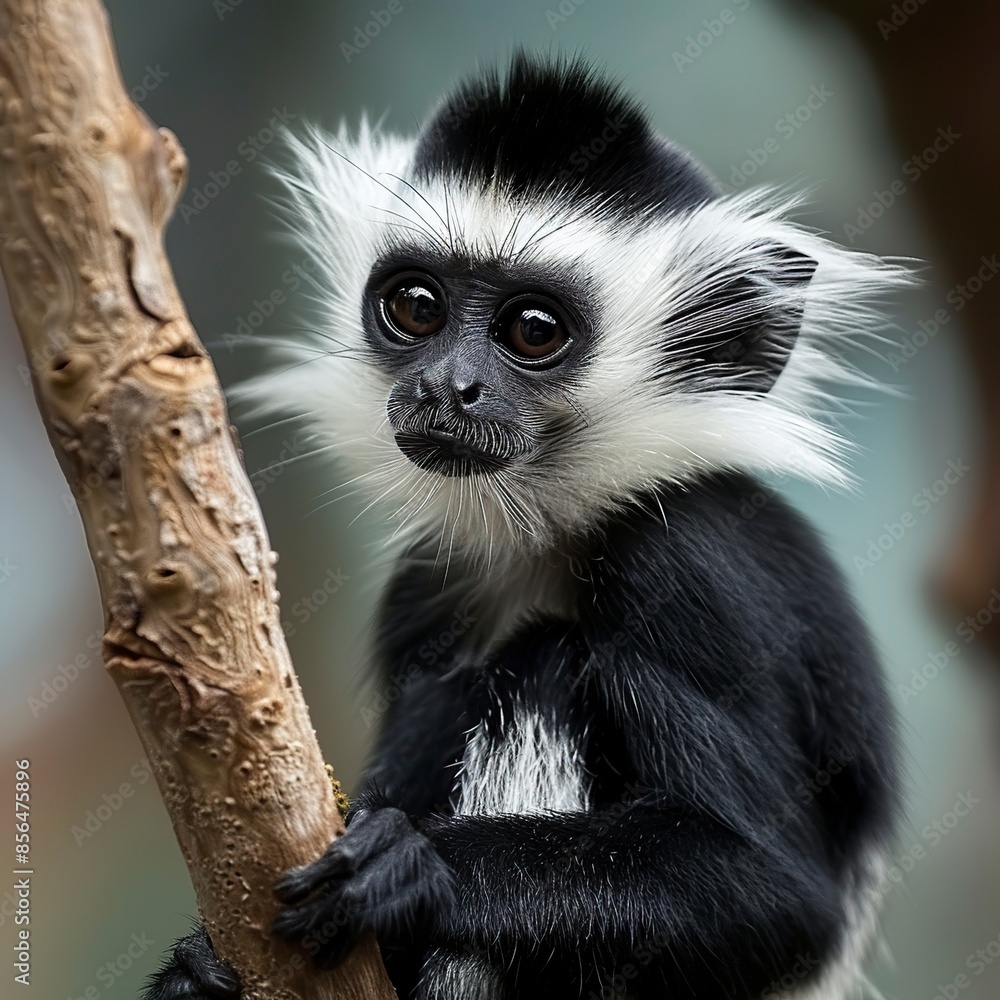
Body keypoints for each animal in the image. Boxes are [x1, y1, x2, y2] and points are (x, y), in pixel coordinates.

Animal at [141, 52, 910, 1000]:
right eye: (417, 307)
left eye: (534, 330)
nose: (448, 387)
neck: (553, 533)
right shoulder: (430, 581)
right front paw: (196, 974)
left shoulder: (691, 572)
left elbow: (780, 896)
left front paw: (414, 869)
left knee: (543, 664)